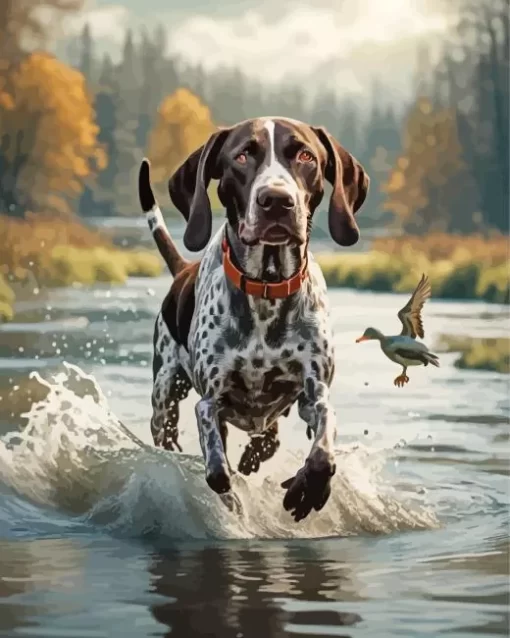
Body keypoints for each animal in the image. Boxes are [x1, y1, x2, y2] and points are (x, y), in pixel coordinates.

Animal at [139, 117, 370, 524]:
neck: (267, 288)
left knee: (270, 439)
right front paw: (233, 505)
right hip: (164, 399)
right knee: (171, 433)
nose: (276, 200)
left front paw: (310, 487)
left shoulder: (314, 392)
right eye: (243, 155)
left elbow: (323, 446)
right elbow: (218, 472)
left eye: (306, 156)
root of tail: (183, 269)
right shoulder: (209, 404)